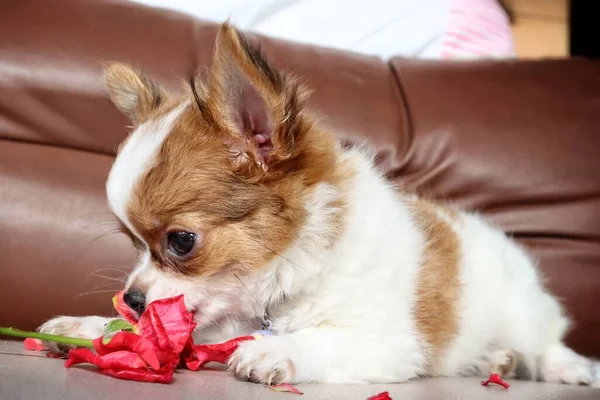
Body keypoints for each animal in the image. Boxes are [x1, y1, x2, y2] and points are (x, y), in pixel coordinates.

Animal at [37, 22, 596, 388]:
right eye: (131, 242)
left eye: (181, 241)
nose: (131, 299)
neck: (284, 278)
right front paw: (85, 328)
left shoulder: (388, 342)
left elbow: (323, 340)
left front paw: (277, 349)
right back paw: (493, 362)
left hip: (521, 312)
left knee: (547, 344)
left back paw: (567, 368)